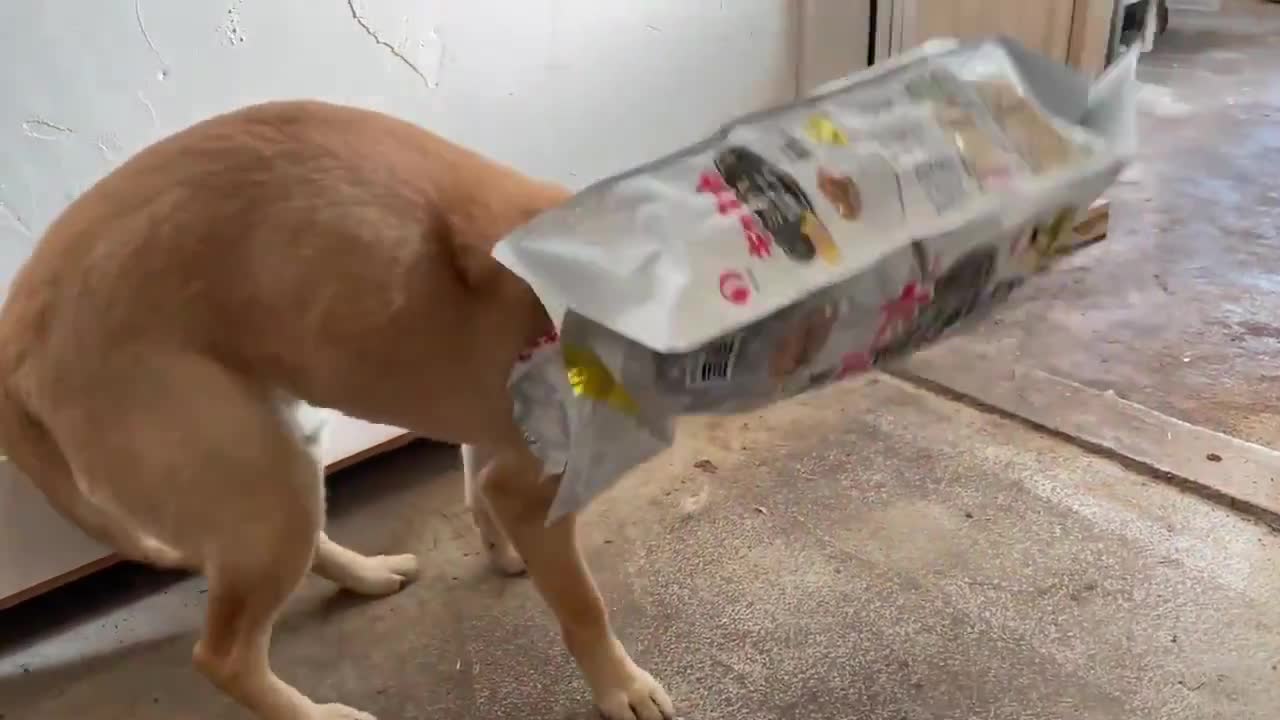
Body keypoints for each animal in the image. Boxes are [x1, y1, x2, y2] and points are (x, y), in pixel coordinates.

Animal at [0, 99, 675, 717]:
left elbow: (477, 489)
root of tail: (17, 331)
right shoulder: (532, 490)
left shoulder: (493, 445)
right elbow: (585, 606)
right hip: (261, 480)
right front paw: (623, 688)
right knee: (223, 656)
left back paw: (368, 574)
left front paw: (502, 553)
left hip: (275, 466)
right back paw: (318, 712)